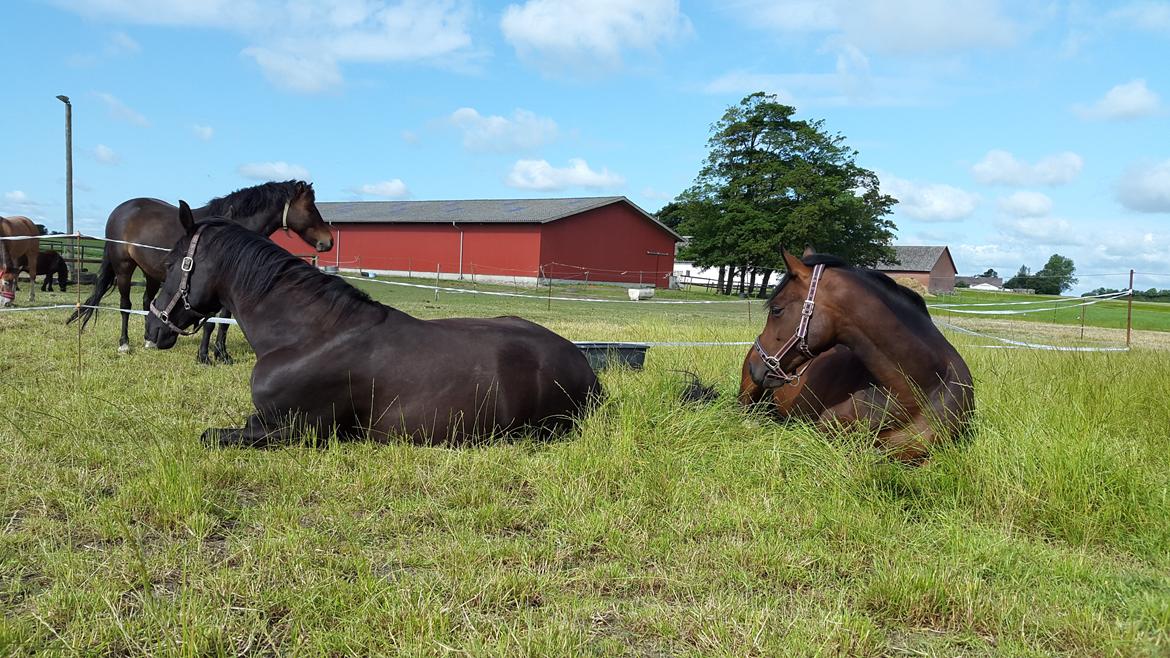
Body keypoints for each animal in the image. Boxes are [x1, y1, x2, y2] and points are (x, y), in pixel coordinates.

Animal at [69, 179, 329, 362]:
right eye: (310, 208)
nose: (328, 241)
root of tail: (120, 211)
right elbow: (211, 322)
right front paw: (205, 356)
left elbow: (224, 322)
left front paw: (221, 354)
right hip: (124, 268)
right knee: (126, 305)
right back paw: (124, 343)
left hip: (150, 273)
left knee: (146, 302)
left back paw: (149, 340)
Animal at [145, 202, 599, 442]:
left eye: (171, 263)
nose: (152, 328)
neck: (310, 336)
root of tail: (583, 365)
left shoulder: (295, 430)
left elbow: (210, 435)